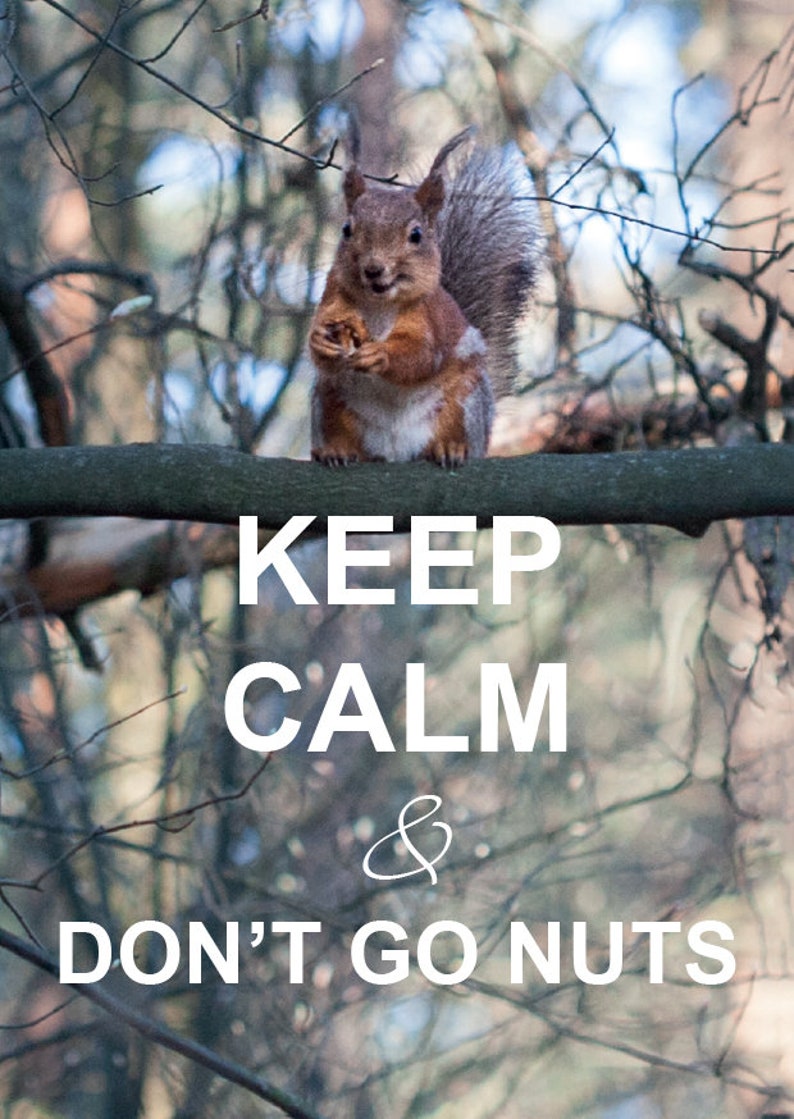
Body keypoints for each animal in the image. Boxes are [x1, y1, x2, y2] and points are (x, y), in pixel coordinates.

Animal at [309, 128, 541, 466]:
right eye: (346, 229)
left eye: (416, 235)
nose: (374, 269)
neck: (379, 304)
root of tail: (394, 449)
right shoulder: (334, 295)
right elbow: (320, 340)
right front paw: (319, 340)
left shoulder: (429, 317)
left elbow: (421, 354)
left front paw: (381, 354)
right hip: (327, 398)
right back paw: (335, 450)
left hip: (464, 401)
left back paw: (451, 449)